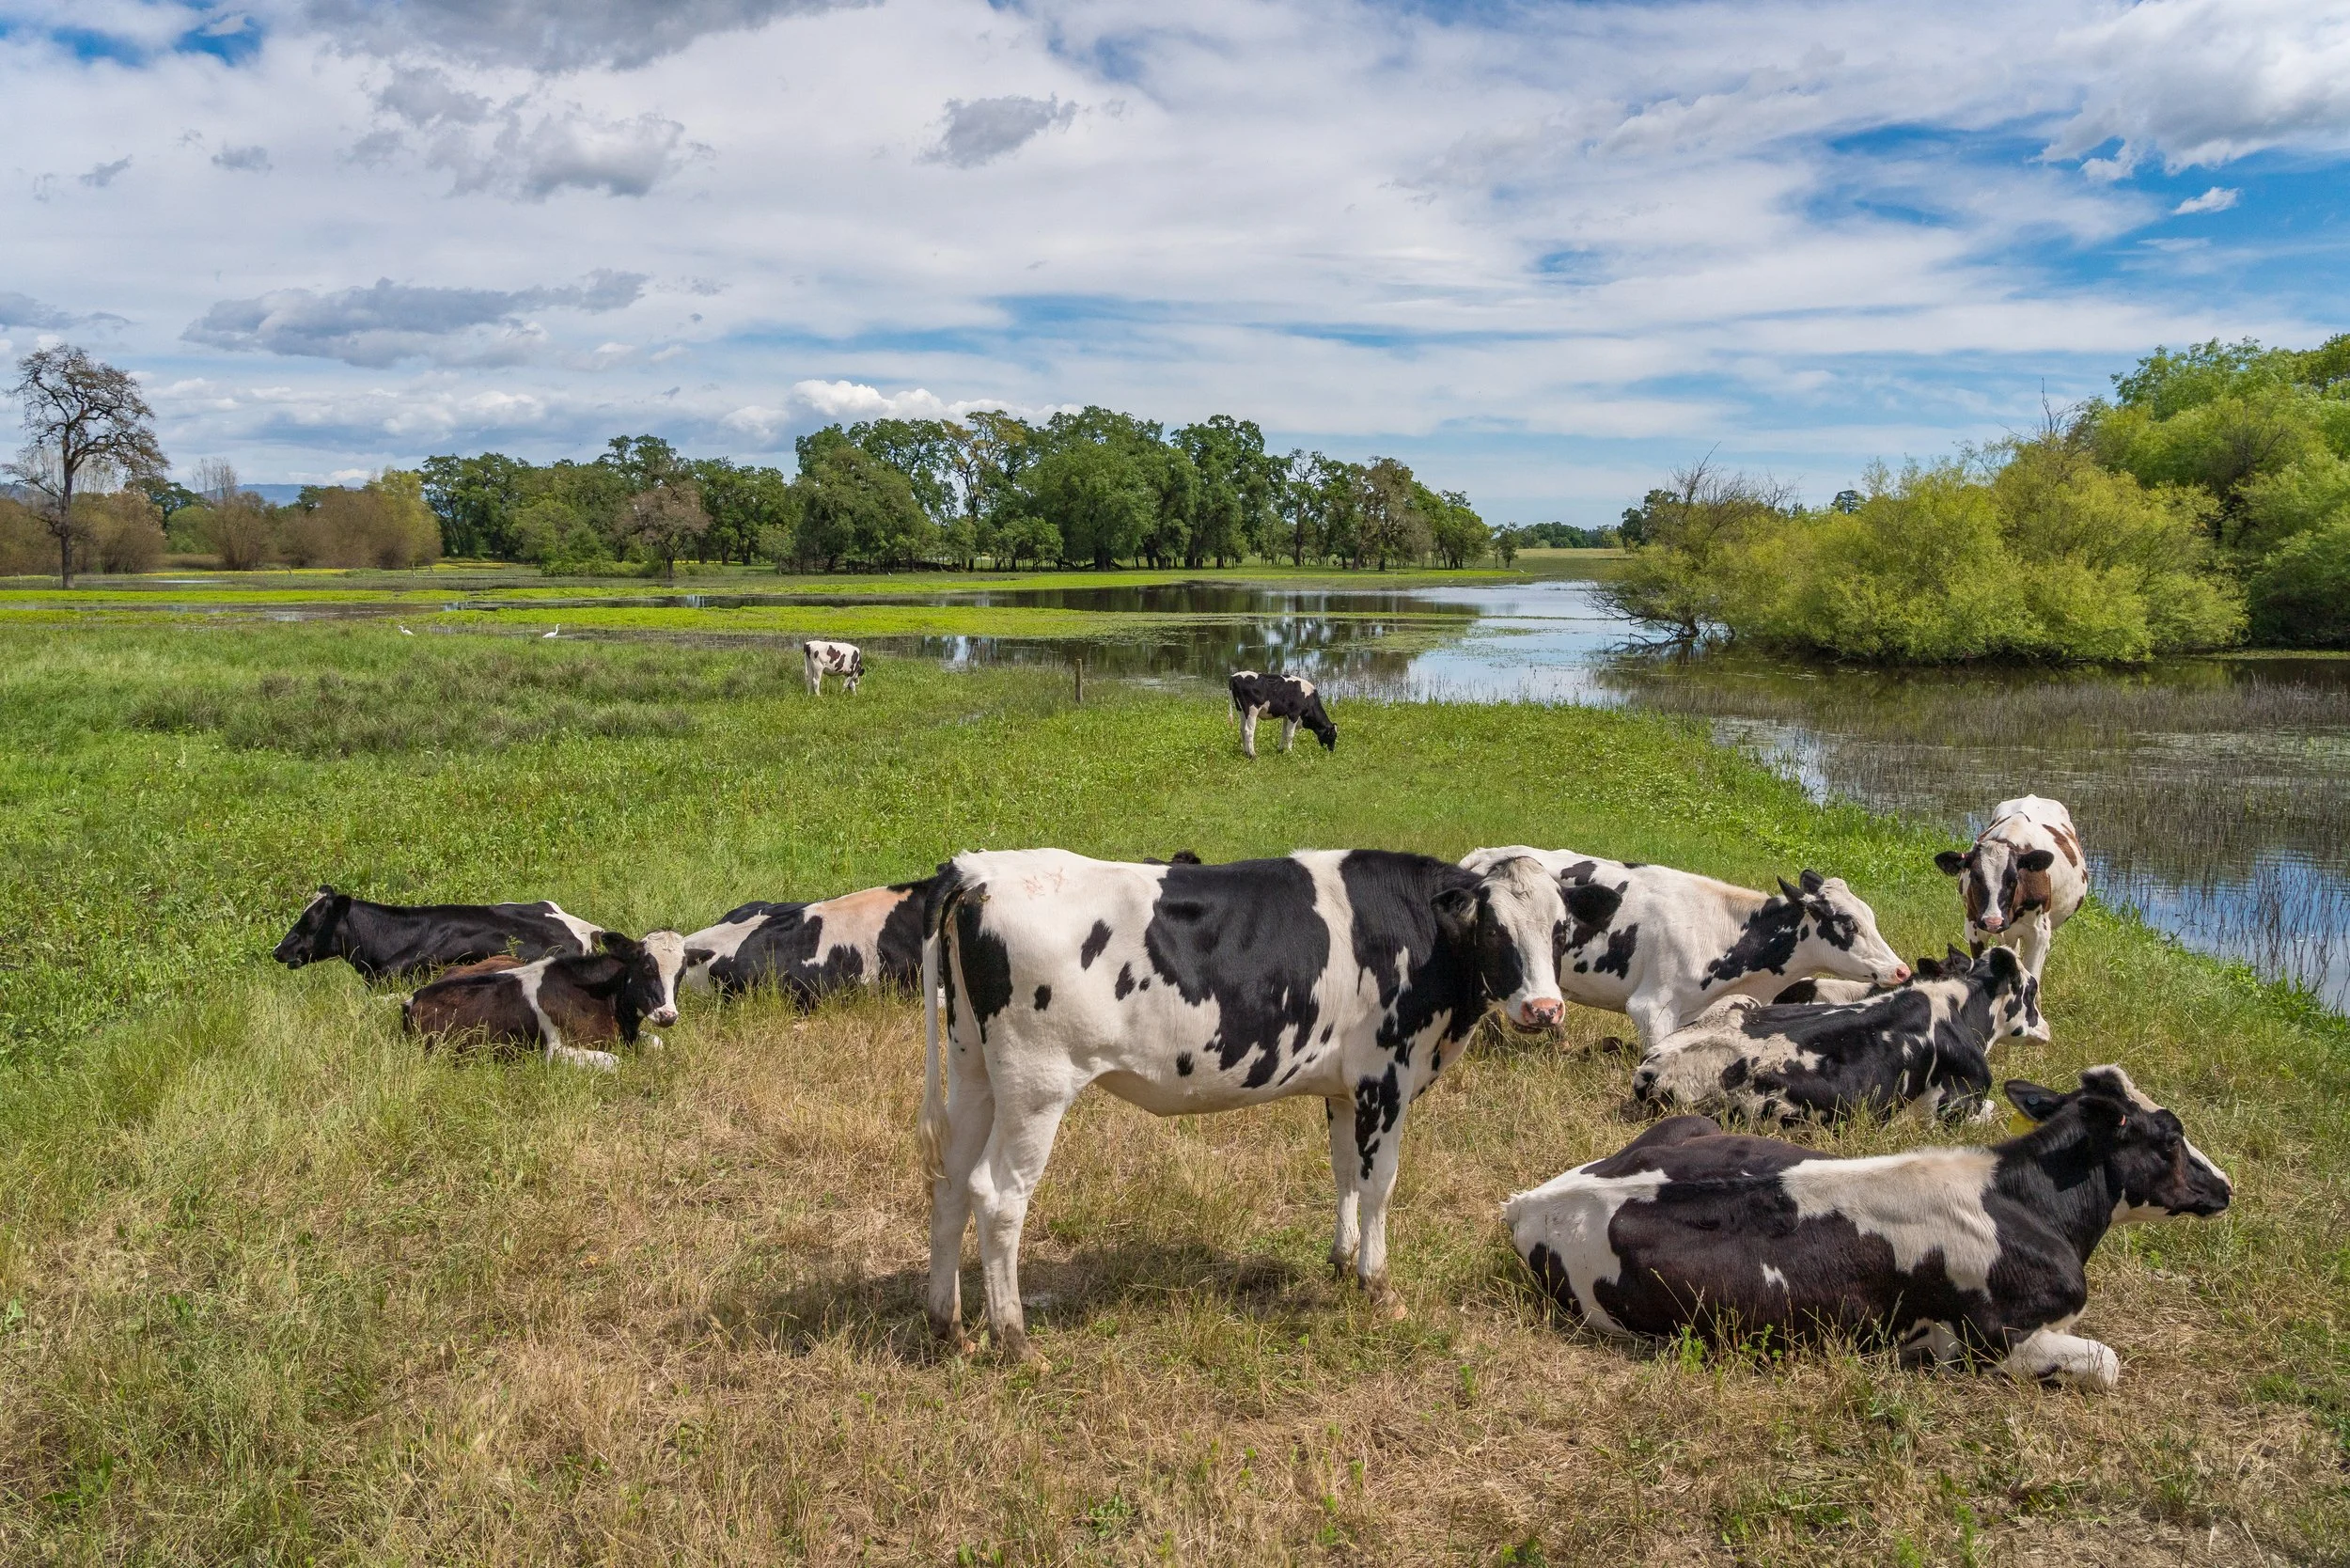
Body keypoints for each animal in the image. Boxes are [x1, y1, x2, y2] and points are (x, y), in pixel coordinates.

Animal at [401, 930, 710, 1071]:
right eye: (647, 968)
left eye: (681, 972)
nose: (668, 1015)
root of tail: (414, 998)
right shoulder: (556, 1052)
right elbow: (614, 1062)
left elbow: (657, 1042)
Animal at [919, 848, 1570, 1360]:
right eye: (1495, 930)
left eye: (1560, 930)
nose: (1545, 1009)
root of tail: (980, 870)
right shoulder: (1384, 1077)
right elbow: (1379, 1183)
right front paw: (1378, 1287)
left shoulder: (1342, 1088)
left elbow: (1344, 1173)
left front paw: (1341, 1262)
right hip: (1037, 1085)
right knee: (997, 1196)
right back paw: (1014, 1341)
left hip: (974, 1068)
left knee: (949, 1183)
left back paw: (947, 1326)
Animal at [1505, 1065, 2230, 1389]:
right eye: (2169, 1137)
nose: (2226, 1186)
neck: (2023, 1203)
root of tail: (1529, 1200)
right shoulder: (1990, 1342)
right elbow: (2107, 1362)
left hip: (1691, 1125)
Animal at [1935, 795, 2087, 1043]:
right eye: (1975, 876)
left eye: (2014, 878)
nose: (1994, 921)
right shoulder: (1974, 926)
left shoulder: (2039, 933)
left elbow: (2034, 978)